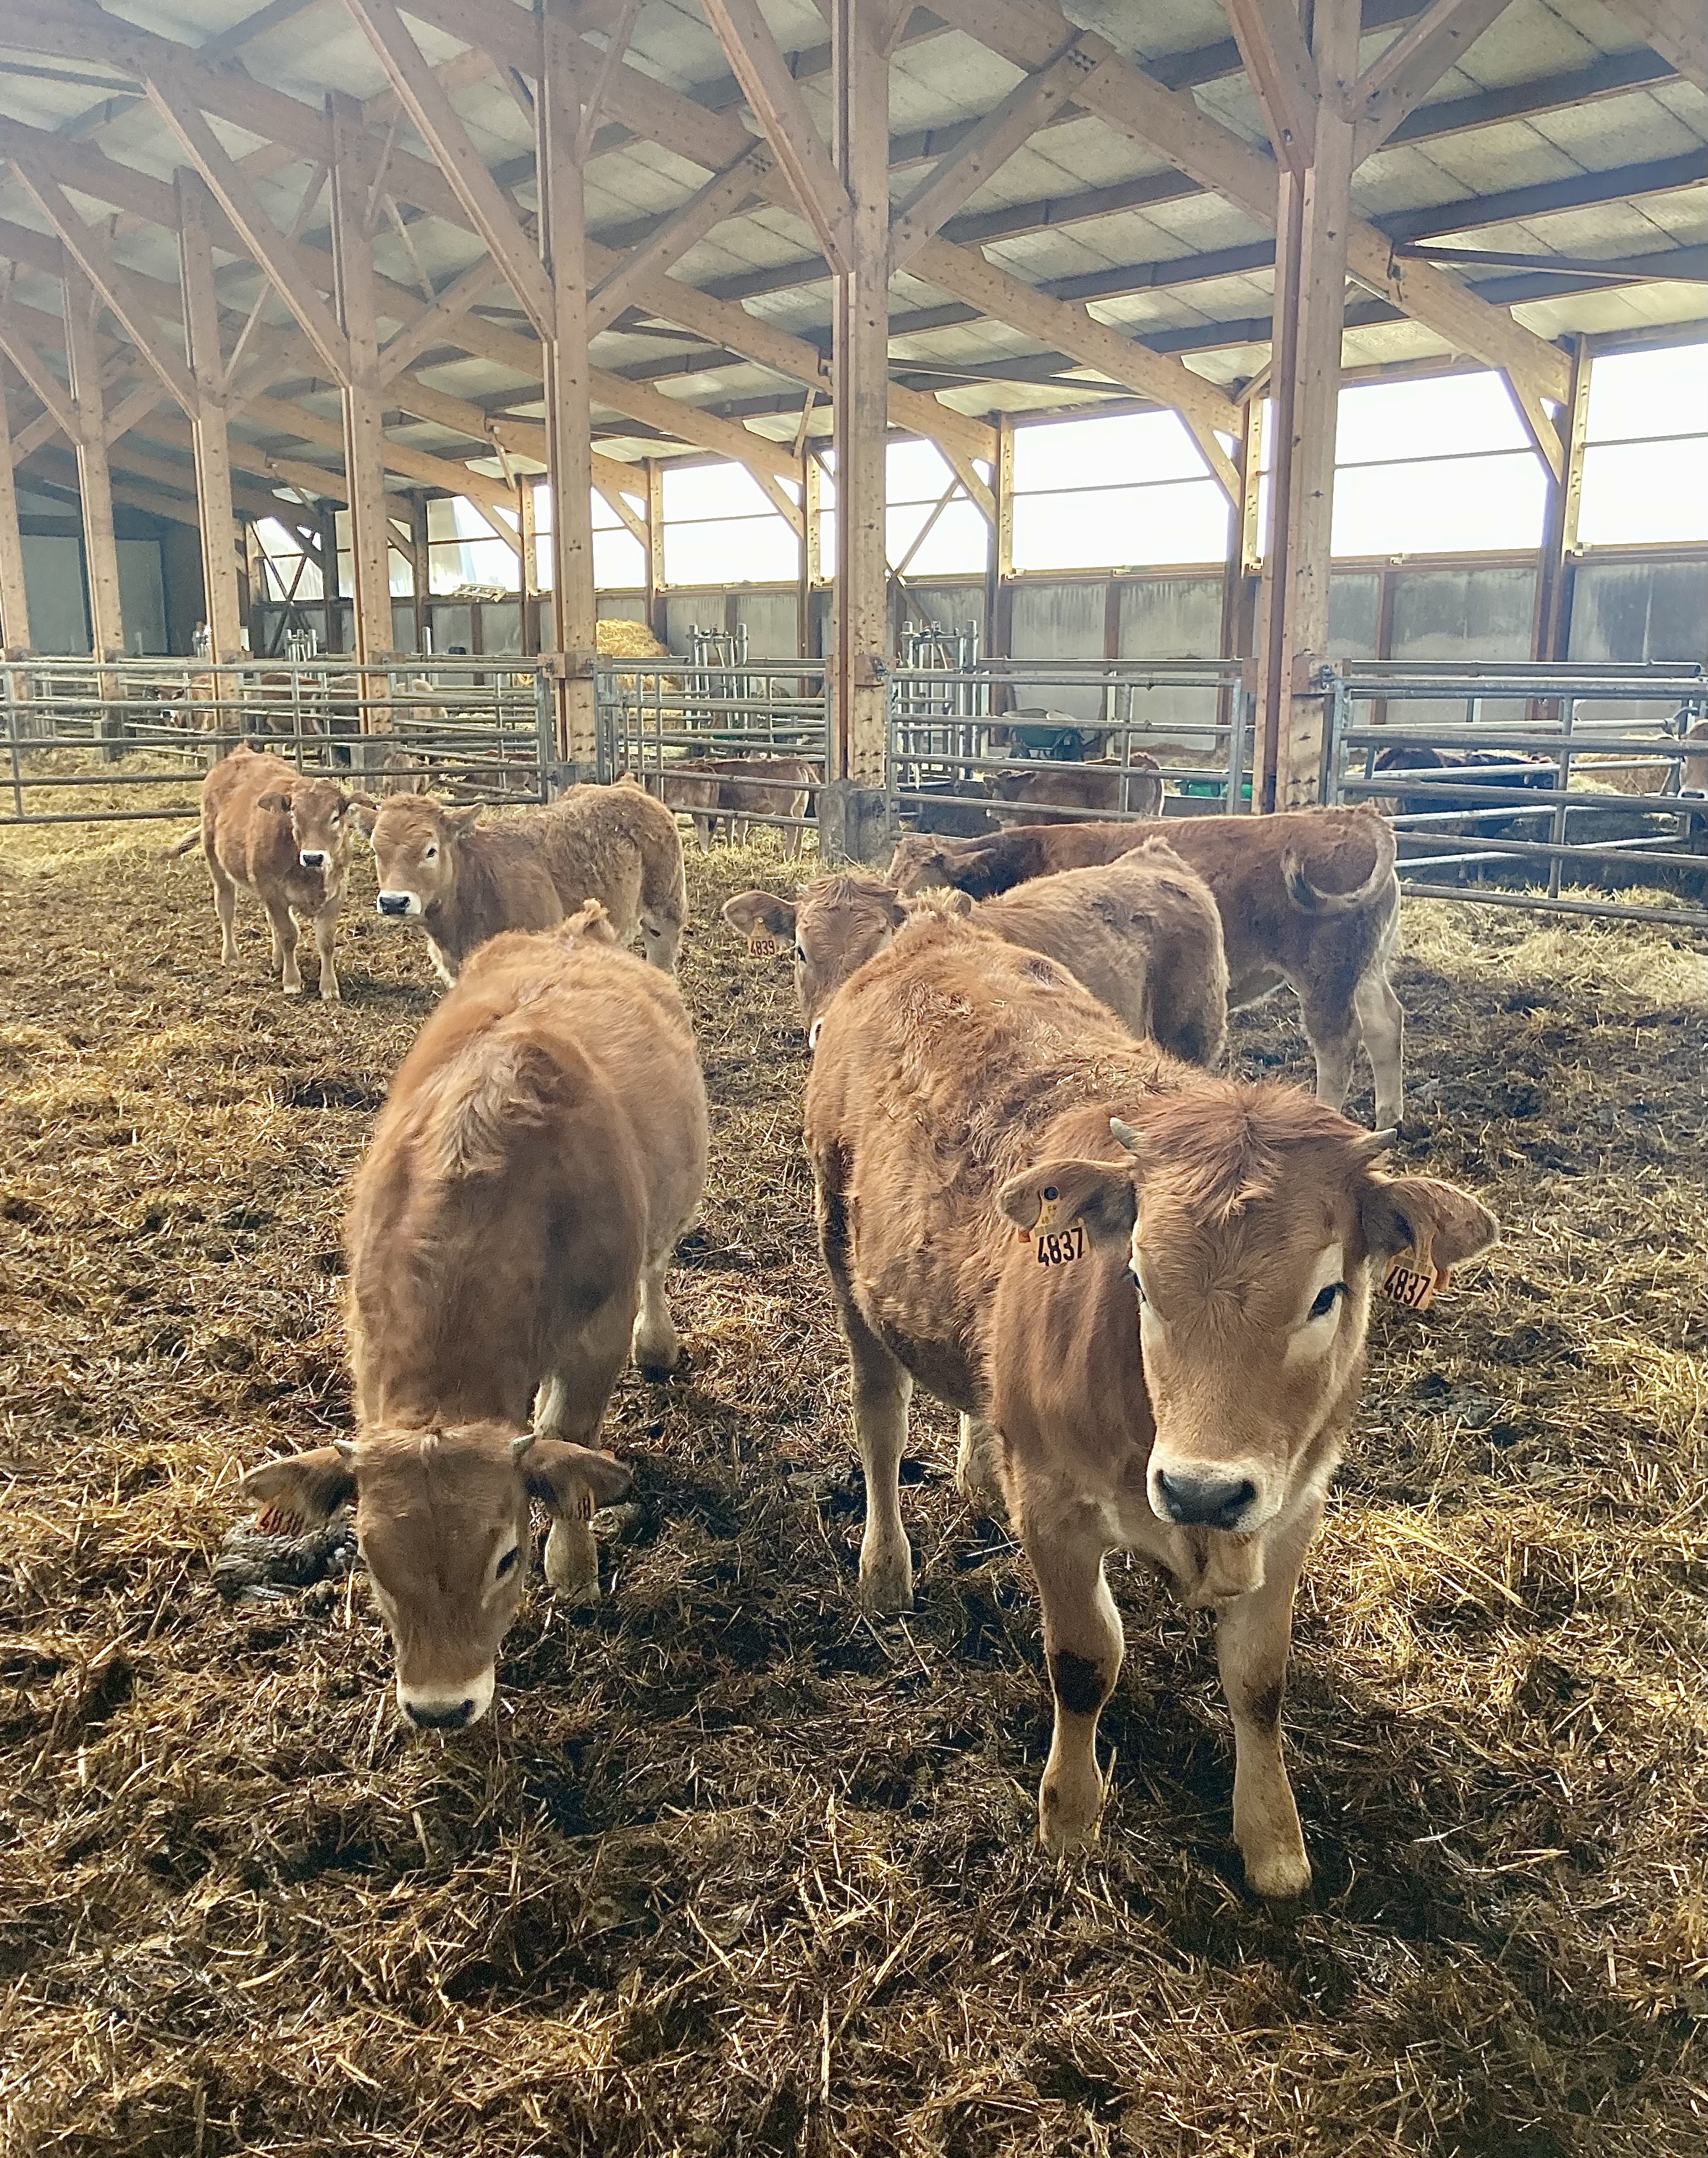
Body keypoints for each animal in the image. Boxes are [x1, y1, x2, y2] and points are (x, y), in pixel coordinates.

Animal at [166, 745, 370, 1001]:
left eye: (335, 817)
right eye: (293, 815)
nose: (313, 857)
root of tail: (241, 752)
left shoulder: (337, 891)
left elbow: (326, 940)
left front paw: (329, 987)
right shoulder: (272, 891)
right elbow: (288, 935)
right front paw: (292, 982)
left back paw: (277, 960)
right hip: (216, 860)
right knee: (226, 907)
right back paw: (231, 957)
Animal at [240, 902, 710, 1730]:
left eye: (505, 1557)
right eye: (371, 1561)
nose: (439, 1706)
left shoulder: (595, 1334)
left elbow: (569, 1445)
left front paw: (574, 1570)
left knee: (657, 1264)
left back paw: (658, 1343)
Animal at [804, 906, 1496, 1892]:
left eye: (1327, 1293)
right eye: (1134, 1277)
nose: (1202, 1488)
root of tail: (933, 927)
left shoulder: (1292, 1505)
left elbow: (1259, 1678)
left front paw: (1273, 1840)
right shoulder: (1054, 1506)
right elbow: (1084, 1659)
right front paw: (1069, 1814)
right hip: (844, 1259)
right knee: (879, 1420)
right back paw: (884, 1567)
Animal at [888, 806, 1405, 1129]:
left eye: (922, 882)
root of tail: (1346, 815)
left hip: (1325, 974)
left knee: (1336, 1043)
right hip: (1365, 968)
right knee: (1384, 1024)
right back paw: (1389, 1120)